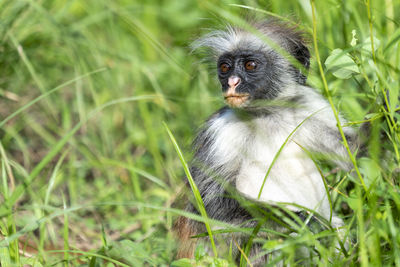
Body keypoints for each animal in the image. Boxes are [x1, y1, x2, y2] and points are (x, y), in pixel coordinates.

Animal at [174, 18, 356, 266]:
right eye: (225, 68)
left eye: (250, 65)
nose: (232, 82)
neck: (268, 115)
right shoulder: (221, 131)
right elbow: (211, 201)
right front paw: (295, 219)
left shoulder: (311, 107)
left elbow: (355, 154)